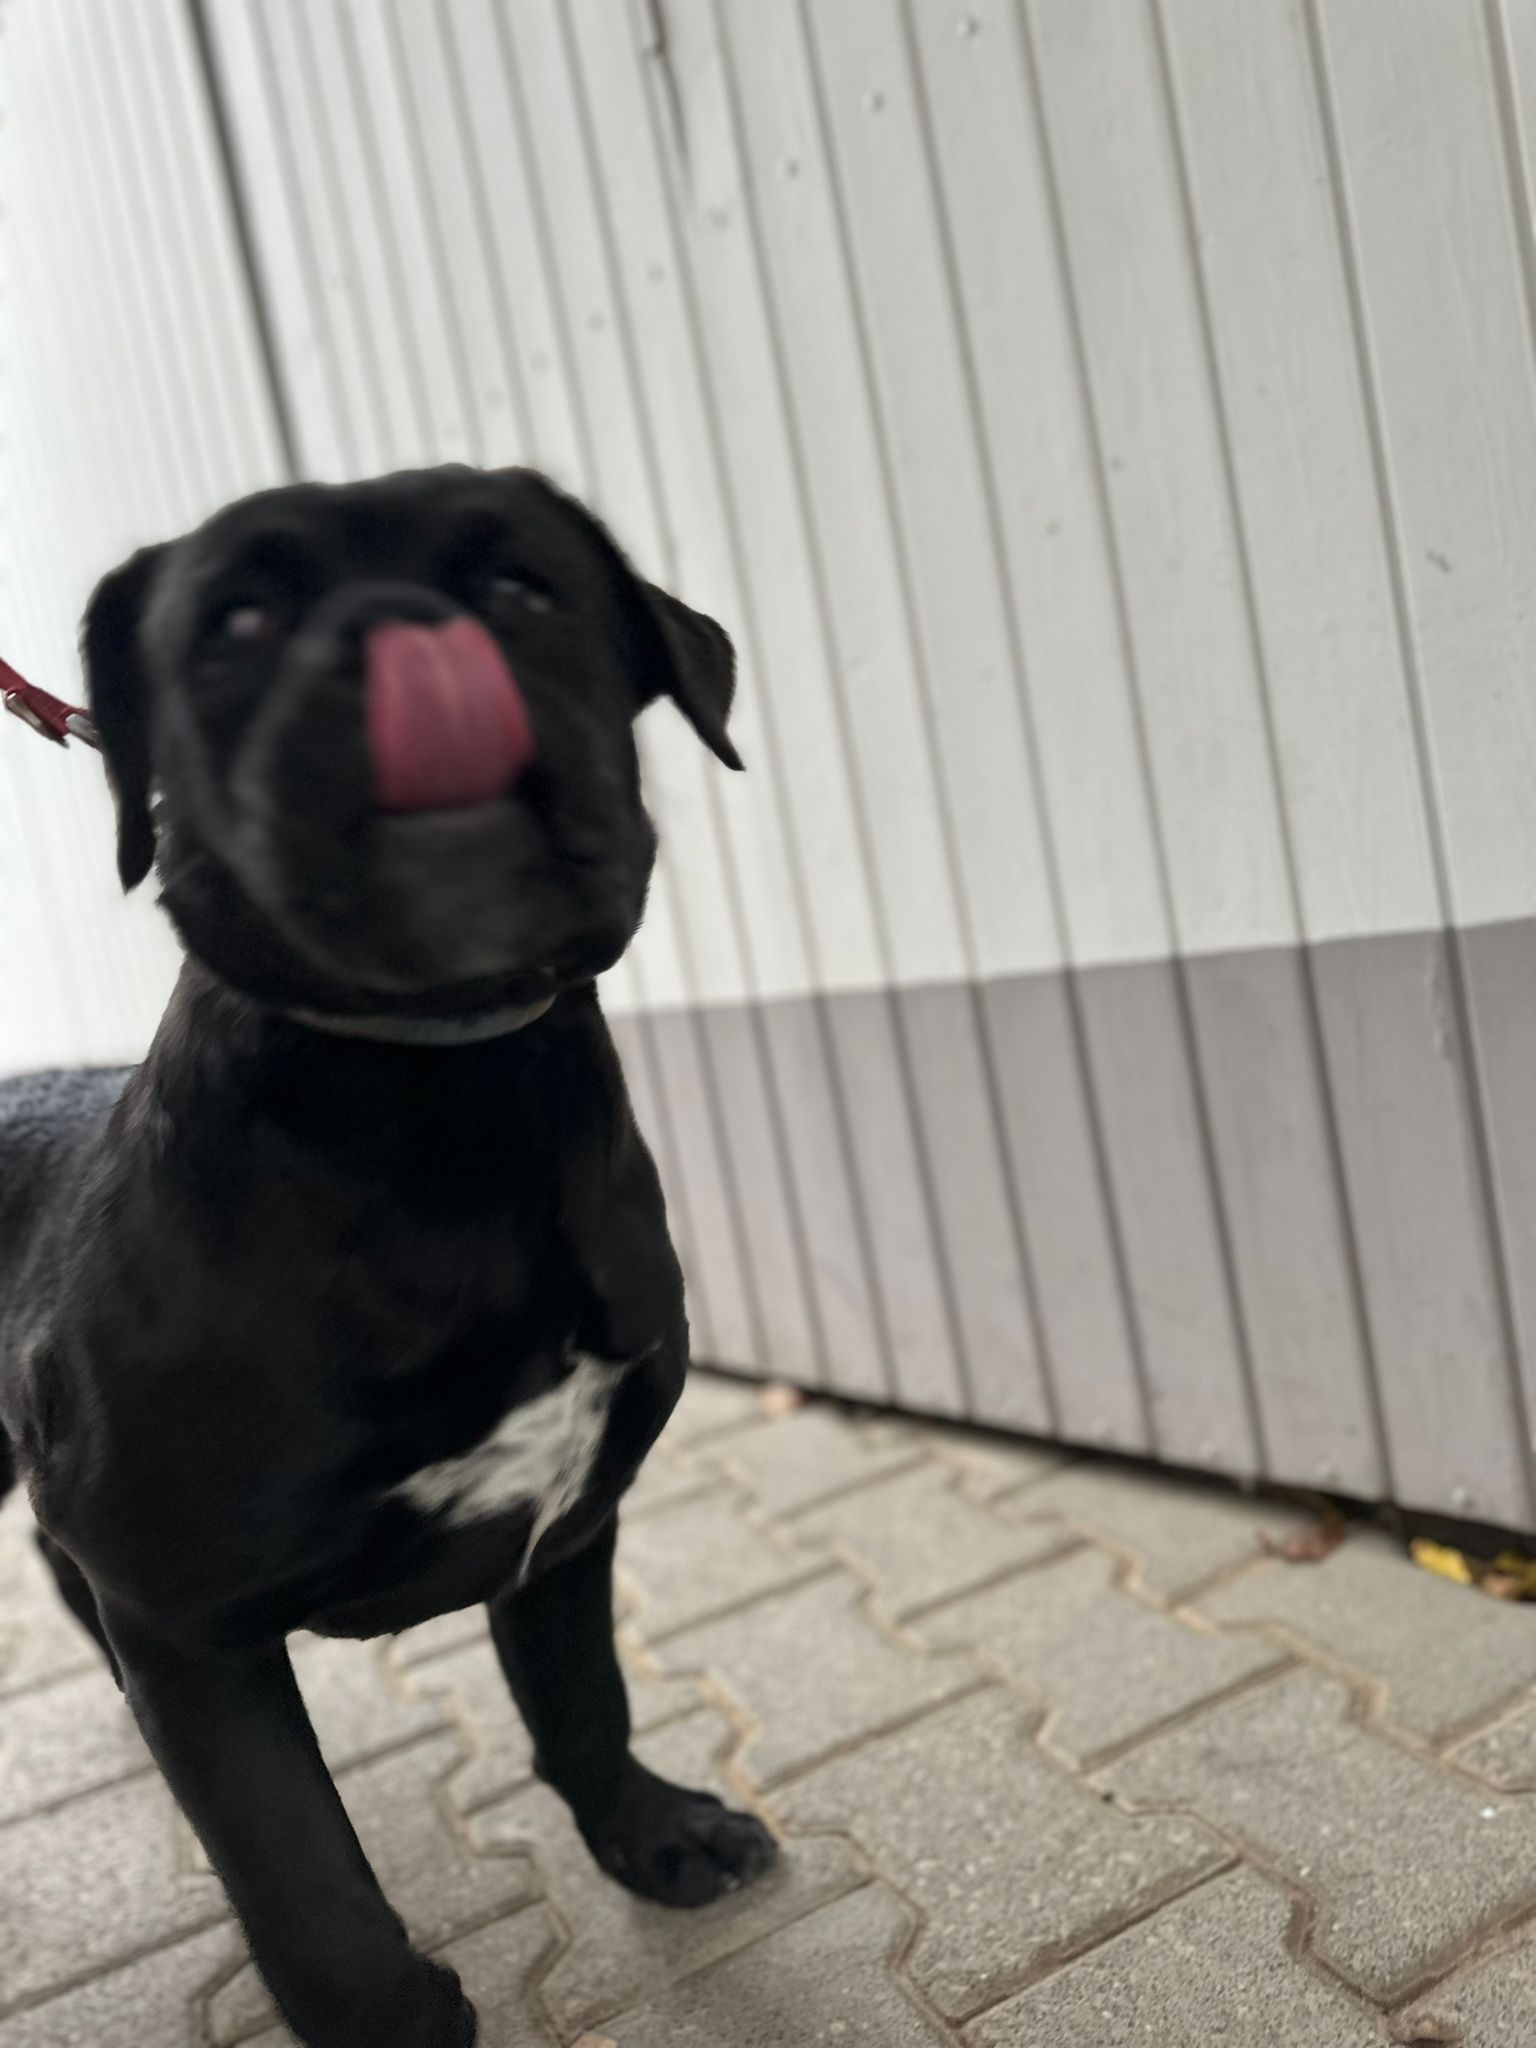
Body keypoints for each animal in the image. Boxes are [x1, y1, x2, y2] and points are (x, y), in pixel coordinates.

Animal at [0, 465, 776, 2047]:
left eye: (527, 586)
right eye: (233, 623)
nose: (401, 637)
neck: (442, 1108)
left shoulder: (571, 1515)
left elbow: (584, 1702)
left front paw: (650, 1834)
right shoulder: (194, 1624)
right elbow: (300, 1868)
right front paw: (390, 2017)